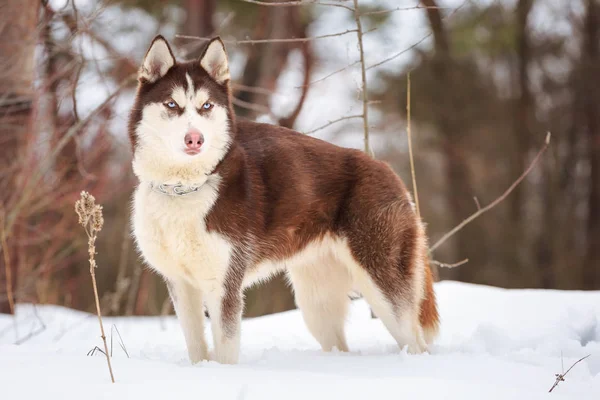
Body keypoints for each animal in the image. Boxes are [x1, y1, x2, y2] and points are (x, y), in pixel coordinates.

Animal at [129, 36, 438, 364]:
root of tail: (389, 171)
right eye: (172, 104)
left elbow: (225, 349)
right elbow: (196, 347)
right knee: (337, 341)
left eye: (206, 106)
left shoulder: (224, 285)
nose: (195, 139)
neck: (184, 187)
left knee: (415, 341)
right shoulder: (180, 284)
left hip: (382, 286)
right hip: (316, 301)